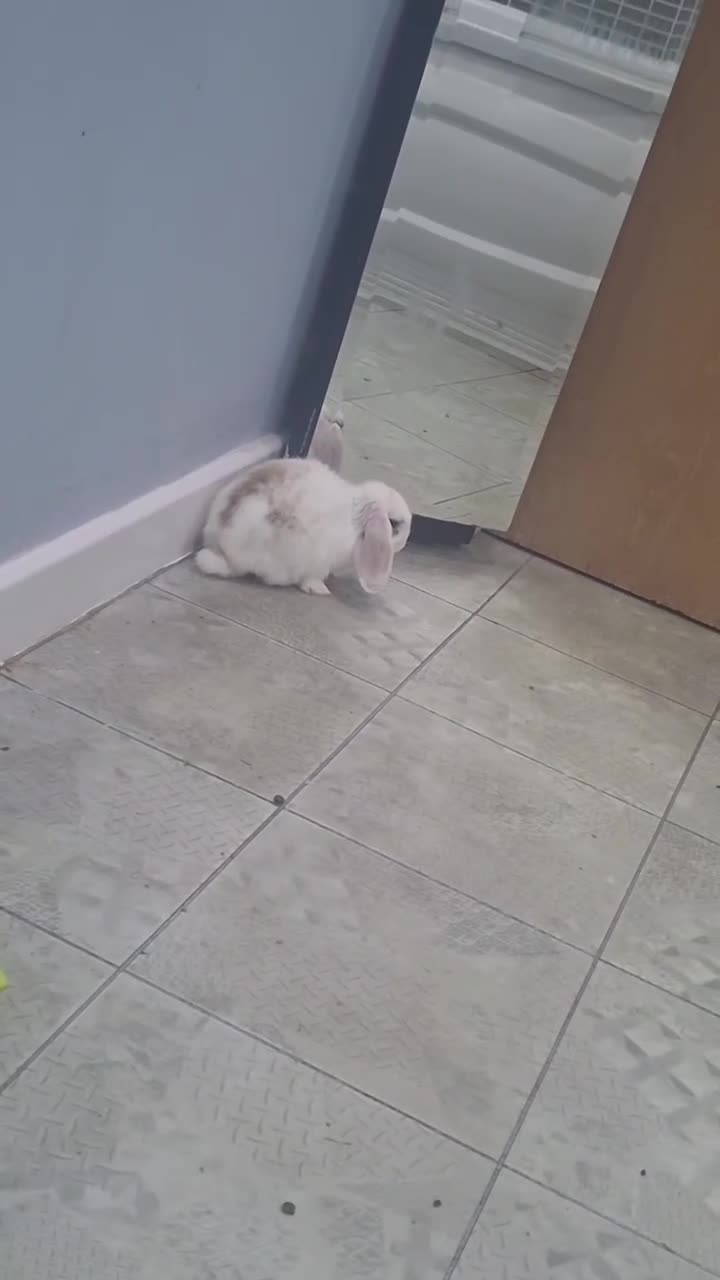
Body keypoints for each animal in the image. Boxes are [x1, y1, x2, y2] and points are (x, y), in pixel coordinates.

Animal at [195, 456, 410, 595]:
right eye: (395, 523)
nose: (405, 542)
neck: (357, 518)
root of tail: (222, 551)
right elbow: (313, 577)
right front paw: (321, 589)